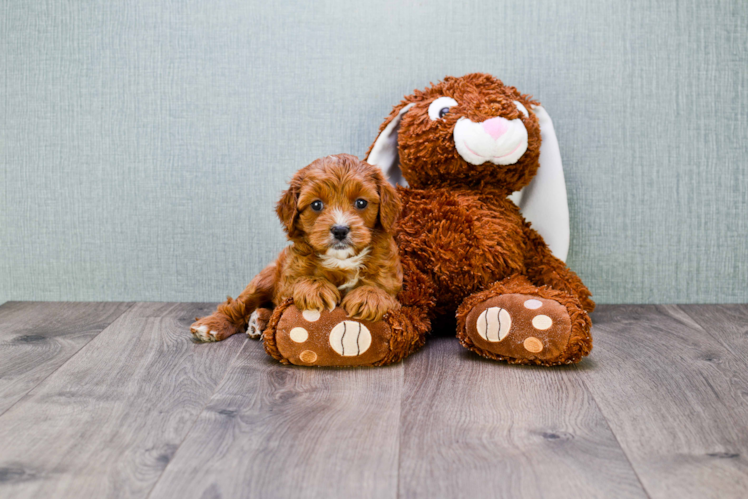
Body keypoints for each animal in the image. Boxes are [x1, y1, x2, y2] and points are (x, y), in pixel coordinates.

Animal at [193, 154, 404, 342]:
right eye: (316, 204)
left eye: (361, 202)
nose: (340, 230)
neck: (341, 260)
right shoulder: (288, 278)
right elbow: (298, 284)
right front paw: (315, 288)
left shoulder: (391, 281)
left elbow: (381, 289)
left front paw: (369, 296)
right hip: (264, 279)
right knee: (236, 305)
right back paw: (212, 326)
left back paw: (258, 321)